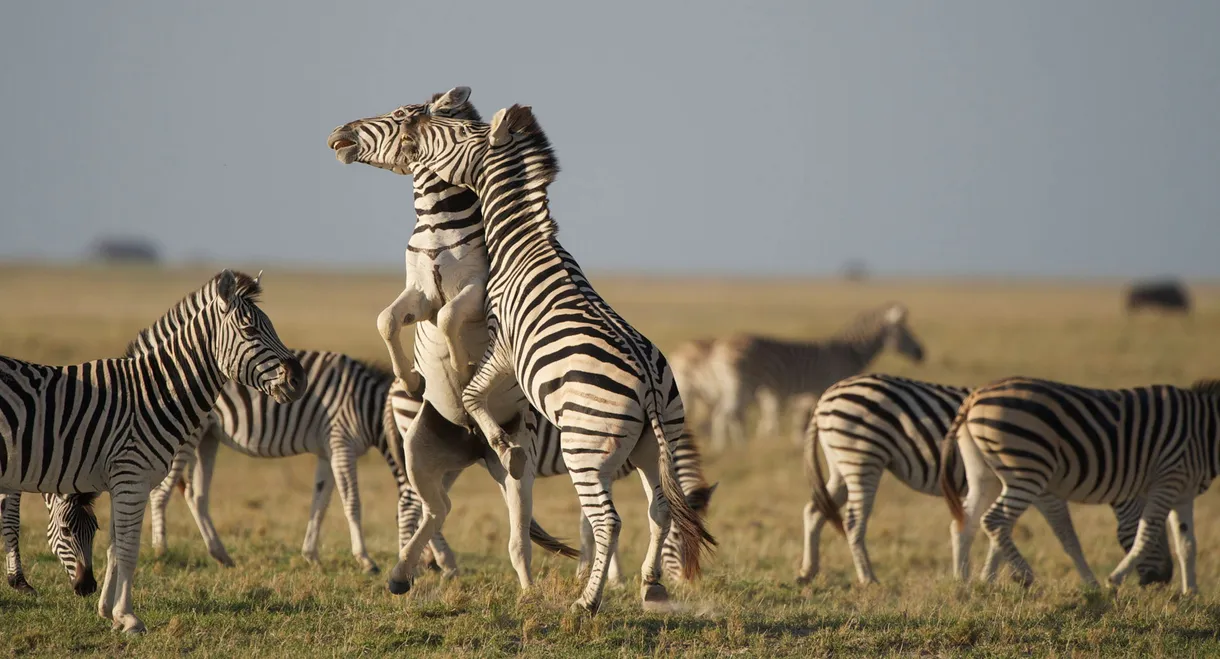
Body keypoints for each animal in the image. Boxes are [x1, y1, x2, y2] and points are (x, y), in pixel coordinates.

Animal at [0, 270, 303, 633]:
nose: (299, 379)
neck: (154, 393)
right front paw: (128, 618)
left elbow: (116, 548)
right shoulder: (132, 477)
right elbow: (130, 550)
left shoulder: (121, 481)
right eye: (250, 330)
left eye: (270, 326)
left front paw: (108, 611)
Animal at [386, 103, 716, 614]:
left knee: (609, 521)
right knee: (659, 509)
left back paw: (587, 603)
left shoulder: (504, 343)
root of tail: (648, 383)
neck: (521, 241)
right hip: (651, 446)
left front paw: (500, 440)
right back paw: (651, 585)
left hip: (584, 447)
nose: (413, 124)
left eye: (456, 132)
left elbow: (473, 391)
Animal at [706, 303, 926, 452]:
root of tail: (719, 347)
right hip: (743, 384)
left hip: (730, 386)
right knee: (729, 414)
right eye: (905, 332)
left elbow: (805, 422)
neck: (848, 353)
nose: (921, 353)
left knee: (721, 414)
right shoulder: (829, 388)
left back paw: (725, 448)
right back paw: (737, 448)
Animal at [800, 373, 1173, 586]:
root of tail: (826, 397)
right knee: (852, 520)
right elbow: (1061, 533)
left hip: (841, 464)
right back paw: (868, 578)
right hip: (862, 458)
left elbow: (996, 532)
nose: (1164, 580)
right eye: (1156, 535)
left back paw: (808, 572)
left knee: (814, 511)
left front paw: (987, 578)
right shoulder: (1042, 488)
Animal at [941, 376, 1220, 594]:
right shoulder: (1169, 477)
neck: (1205, 431)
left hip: (984, 474)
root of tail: (975, 396)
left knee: (965, 522)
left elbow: (1187, 543)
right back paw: (1027, 577)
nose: (1161, 580)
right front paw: (1115, 579)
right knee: (994, 520)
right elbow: (1146, 532)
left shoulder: (1183, 491)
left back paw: (964, 585)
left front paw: (1191, 594)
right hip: (1026, 471)